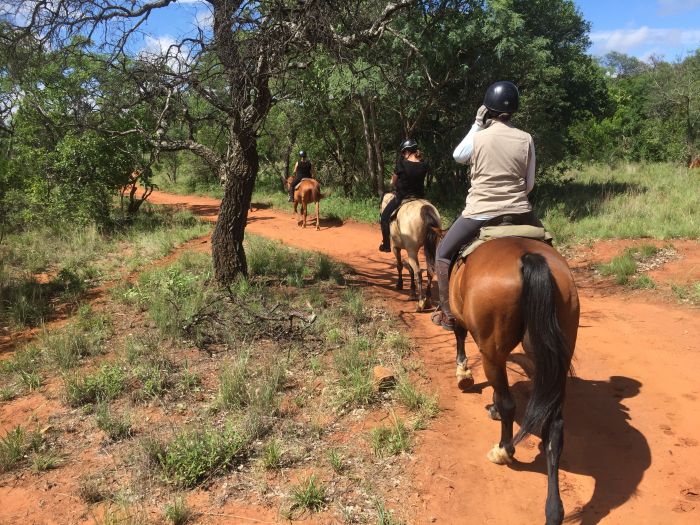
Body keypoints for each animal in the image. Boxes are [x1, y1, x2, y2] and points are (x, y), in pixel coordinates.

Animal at [442, 234, 580, 524]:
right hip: (556, 347)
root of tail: (528, 257)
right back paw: (554, 511)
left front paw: (464, 374)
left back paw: (503, 450)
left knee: (509, 403)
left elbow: (459, 334)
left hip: (491, 351)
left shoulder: (461, 318)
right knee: (554, 427)